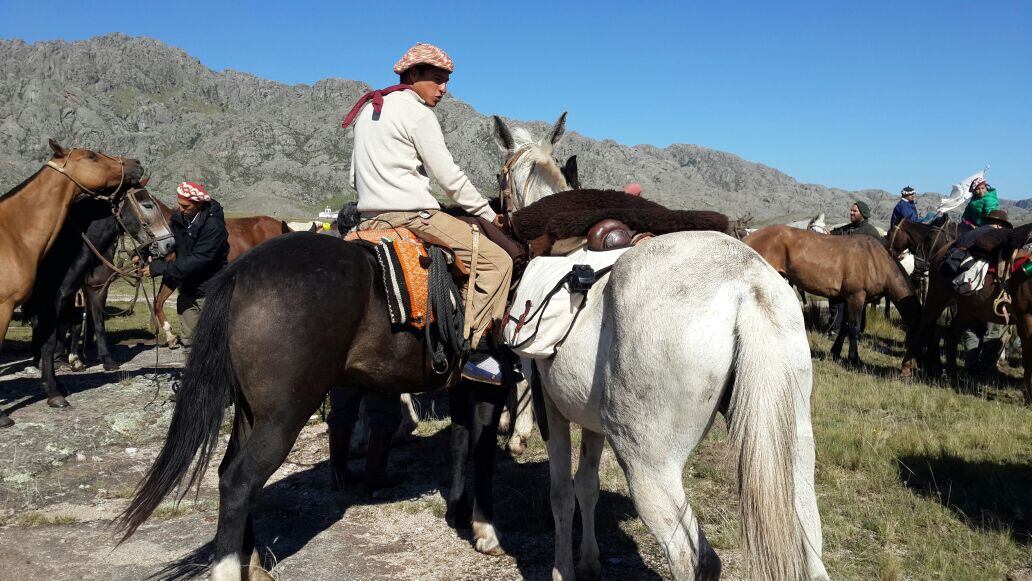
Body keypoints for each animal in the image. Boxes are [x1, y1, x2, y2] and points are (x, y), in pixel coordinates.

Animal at [493, 113, 829, 581]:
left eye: (499, 177)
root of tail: (748, 286)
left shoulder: (555, 410)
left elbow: (561, 493)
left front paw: (563, 570)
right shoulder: (592, 420)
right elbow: (587, 485)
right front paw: (590, 560)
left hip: (649, 465)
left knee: (692, 557)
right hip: (793, 450)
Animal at [747, 224, 924, 365]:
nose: (919, 366)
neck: (875, 259)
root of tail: (749, 237)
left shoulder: (849, 299)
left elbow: (844, 326)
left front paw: (836, 352)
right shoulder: (856, 297)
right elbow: (853, 327)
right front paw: (854, 359)